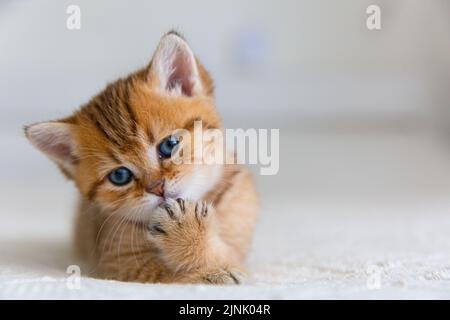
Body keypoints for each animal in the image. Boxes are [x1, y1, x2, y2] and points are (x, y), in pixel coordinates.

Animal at [24, 31, 256, 284]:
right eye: (120, 175)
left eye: (169, 145)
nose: (157, 188)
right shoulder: (119, 262)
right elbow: (168, 274)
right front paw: (207, 265)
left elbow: (229, 254)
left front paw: (194, 240)